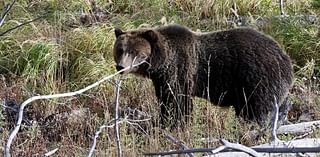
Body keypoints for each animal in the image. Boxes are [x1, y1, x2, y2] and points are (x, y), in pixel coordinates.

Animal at [112, 24, 292, 127]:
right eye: (120, 49)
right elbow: (166, 99)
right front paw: (162, 120)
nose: (121, 67)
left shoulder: (180, 70)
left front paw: (174, 124)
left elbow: (178, 102)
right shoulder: (162, 80)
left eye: (135, 52)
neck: (162, 63)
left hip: (257, 79)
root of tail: (286, 59)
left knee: (256, 111)